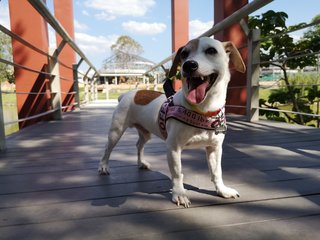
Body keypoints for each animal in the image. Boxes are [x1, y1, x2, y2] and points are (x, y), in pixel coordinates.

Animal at [99, 36, 246, 207]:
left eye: (211, 51)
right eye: (184, 54)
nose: (189, 65)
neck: (202, 111)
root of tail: (127, 94)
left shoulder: (214, 148)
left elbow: (217, 172)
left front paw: (222, 190)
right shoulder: (173, 147)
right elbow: (177, 173)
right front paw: (179, 194)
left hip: (145, 133)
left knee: (139, 145)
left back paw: (141, 162)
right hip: (116, 132)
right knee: (107, 149)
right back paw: (103, 167)